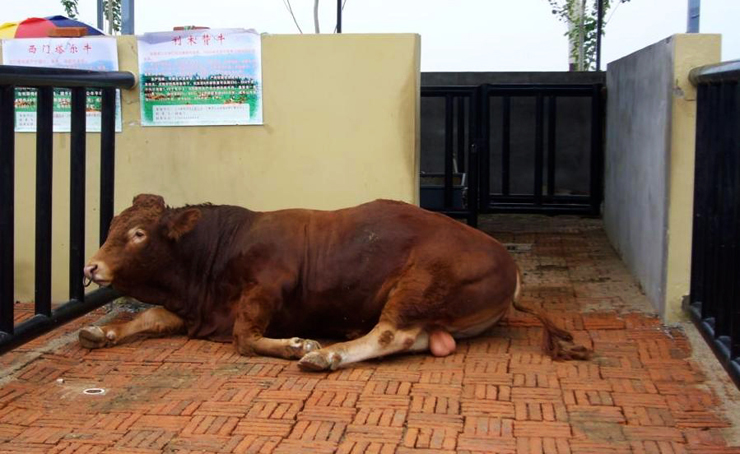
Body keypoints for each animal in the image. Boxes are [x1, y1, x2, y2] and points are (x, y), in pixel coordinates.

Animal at [81, 194, 588, 368]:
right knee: (417, 339)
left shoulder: (267, 286)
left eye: (138, 234)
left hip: (418, 285)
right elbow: (149, 315)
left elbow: (245, 338)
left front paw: (294, 345)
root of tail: (510, 264)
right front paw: (100, 331)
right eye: (111, 225)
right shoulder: (198, 311)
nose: (90, 267)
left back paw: (326, 354)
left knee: (390, 333)